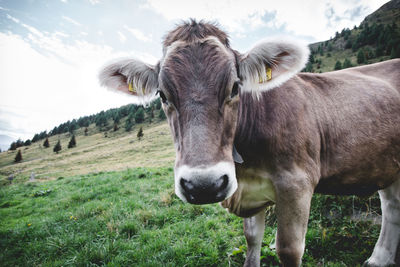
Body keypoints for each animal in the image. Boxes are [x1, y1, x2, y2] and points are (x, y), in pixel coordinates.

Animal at [99, 19, 400, 266]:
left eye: (235, 87)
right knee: (392, 204)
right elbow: (252, 240)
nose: (204, 185)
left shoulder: (297, 183)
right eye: (162, 94)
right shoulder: (250, 192)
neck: (246, 168)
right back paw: (379, 259)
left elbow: (288, 249)